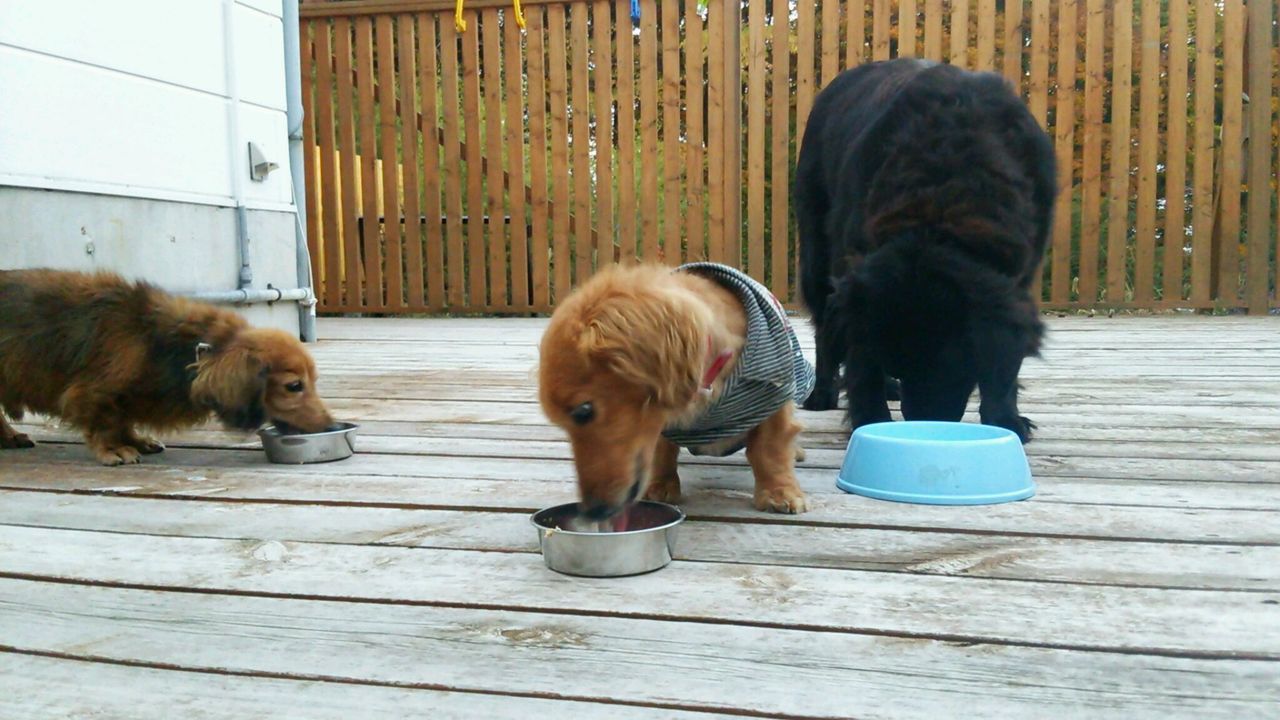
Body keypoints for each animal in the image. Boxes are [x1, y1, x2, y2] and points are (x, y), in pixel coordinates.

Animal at [0, 269, 335, 465]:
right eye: (294, 386)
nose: (333, 428)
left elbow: (122, 419)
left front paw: (136, 440)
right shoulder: (95, 392)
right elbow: (105, 421)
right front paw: (113, 449)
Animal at [538, 262, 815, 517]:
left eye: (583, 411)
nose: (592, 511)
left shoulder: (774, 395)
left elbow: (770, 448)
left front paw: (779, 492)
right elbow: (662, 450)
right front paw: (660, 485)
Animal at [795, 59, 1057, 442]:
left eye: (960, 367)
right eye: (901, 364)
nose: (928, 421)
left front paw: (1006, 419)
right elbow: (861, 361)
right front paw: (870, 417)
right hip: (816, 254)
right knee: (823, 327)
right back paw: (823, 394)